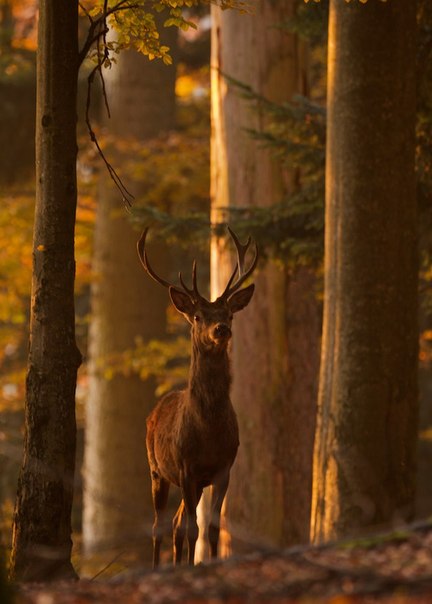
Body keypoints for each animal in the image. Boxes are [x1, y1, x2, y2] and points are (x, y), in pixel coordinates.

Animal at [136, 225, 256, 568]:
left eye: (229, 313)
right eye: (199, 316)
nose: (221, 329)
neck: (208, 430)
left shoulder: (223, 468)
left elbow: (211, 528)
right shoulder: (186, 466)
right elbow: (194, 528)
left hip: (193, 481)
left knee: (176, 523)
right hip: (156, 468)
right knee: (159, 525)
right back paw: (157, 567)